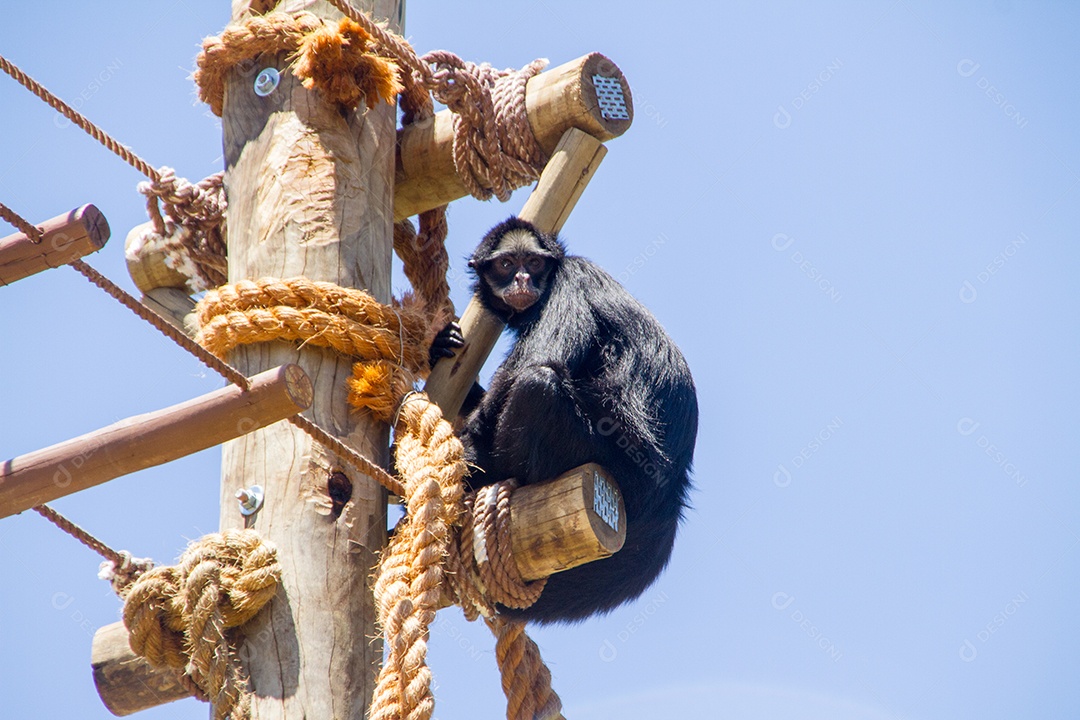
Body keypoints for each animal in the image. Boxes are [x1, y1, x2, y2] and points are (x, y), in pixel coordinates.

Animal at [433, 216, 698, 624]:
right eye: (506, 265)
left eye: (534, 263)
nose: (523, 279)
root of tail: (672, 492)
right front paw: (437, 347)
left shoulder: (571, 281)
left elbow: (532, 365)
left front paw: (467, 452)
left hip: (613, 465)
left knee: (538, 383)